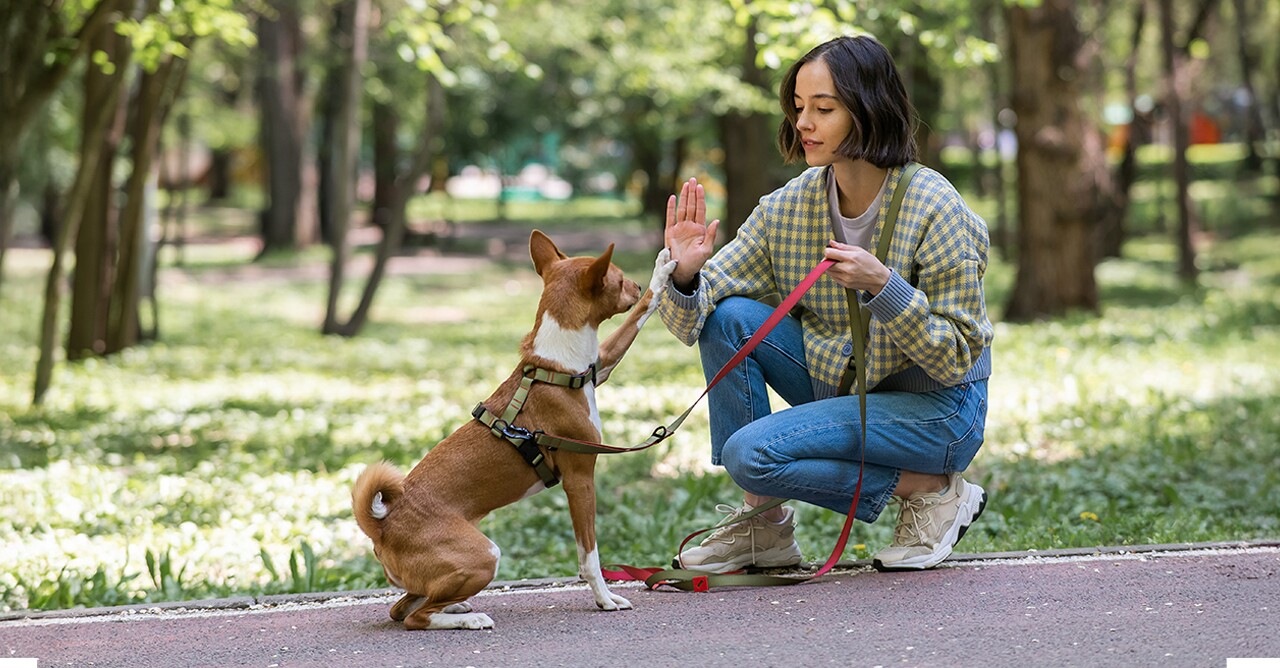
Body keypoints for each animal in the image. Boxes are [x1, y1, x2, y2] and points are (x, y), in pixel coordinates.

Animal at [348, 230, 670, 629]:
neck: (555, 368)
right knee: (415, 618)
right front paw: (605, 598)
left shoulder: (600, 364)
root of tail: (383, 527)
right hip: (485, 555)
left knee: (403, 606)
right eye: (621, 278)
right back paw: (468, 619)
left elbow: (637, 319)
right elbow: (590, 556)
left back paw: (456, 607)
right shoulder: (580, 479)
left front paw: (662, 271)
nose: (638, 284)